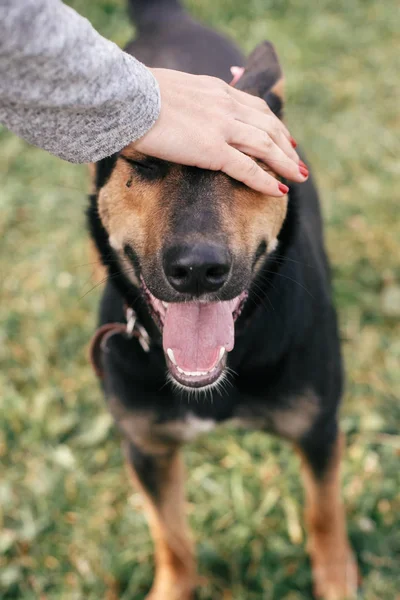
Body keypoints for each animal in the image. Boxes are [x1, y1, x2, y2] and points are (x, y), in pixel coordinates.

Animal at [88, 2, 360, 596]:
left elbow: (324, 513)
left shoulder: (319, 429)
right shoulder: (147, 448)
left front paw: (335, 579)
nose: (198, 270)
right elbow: (171, 538)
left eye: (249, 162)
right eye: (145, 164)